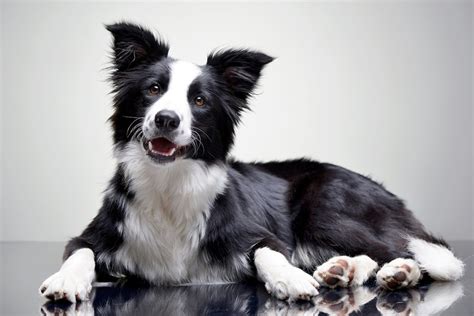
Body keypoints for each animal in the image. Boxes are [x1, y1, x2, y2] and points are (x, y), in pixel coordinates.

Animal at [39, 21, 464, 302]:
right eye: (154, 89)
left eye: (199, 101)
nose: (166, 119)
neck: (170, 185)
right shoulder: (95, 235)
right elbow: (79, 252)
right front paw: (66, 281)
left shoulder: (261, 234)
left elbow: (268, 252)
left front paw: (289, 279)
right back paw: (342, 270)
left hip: (325, 207)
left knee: (422, 253)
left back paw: (398, 271)